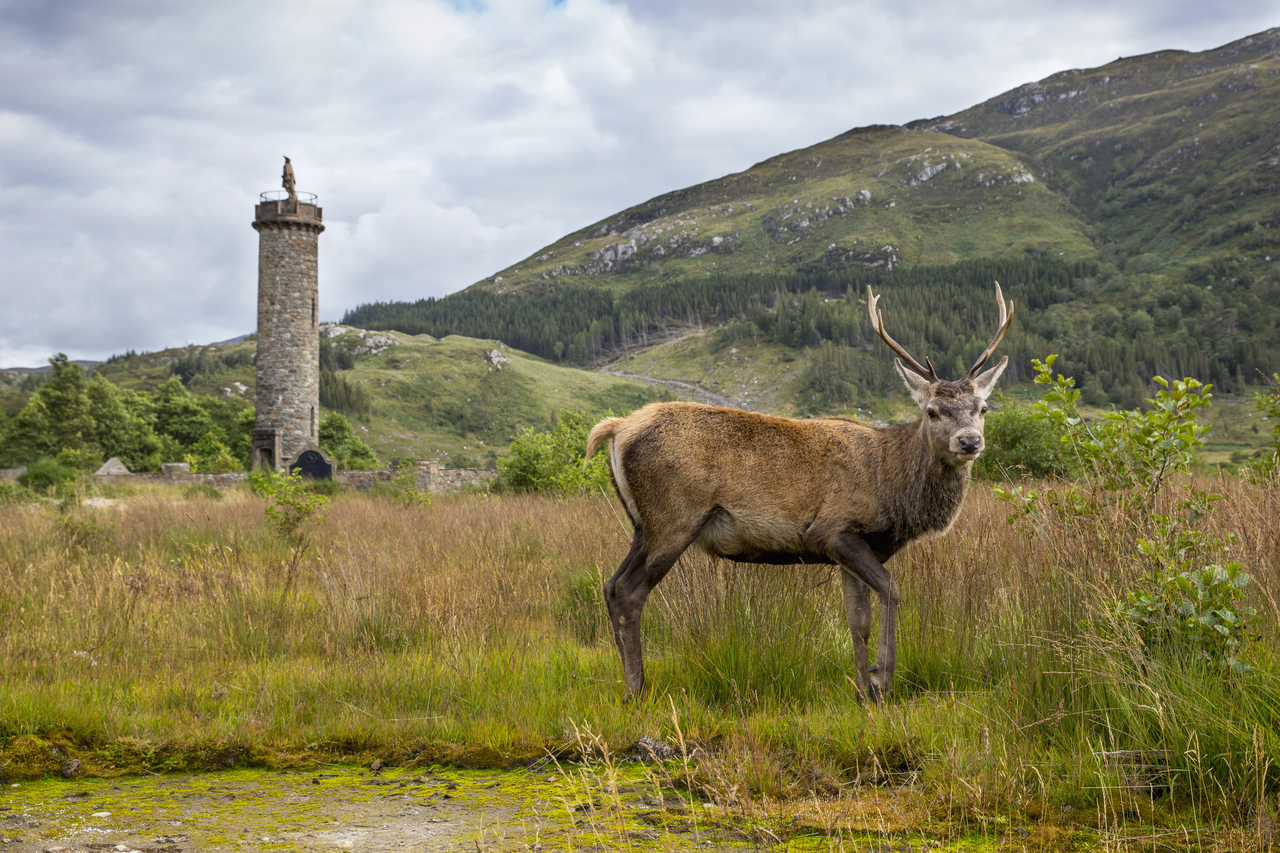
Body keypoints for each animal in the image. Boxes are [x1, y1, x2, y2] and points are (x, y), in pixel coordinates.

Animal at [585, 282, 1014, 703]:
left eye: (983, 407)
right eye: (932, 411)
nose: (969, 441)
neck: (892, 487)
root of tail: (617, 428)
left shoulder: (852, 550)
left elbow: (857, 621)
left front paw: (863, 692)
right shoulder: (834, 529)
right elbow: (891, 592)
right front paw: (882, 683)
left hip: (643, 525)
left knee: (610, 586)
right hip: (674, 518)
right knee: (628, 591)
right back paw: (637, 689)